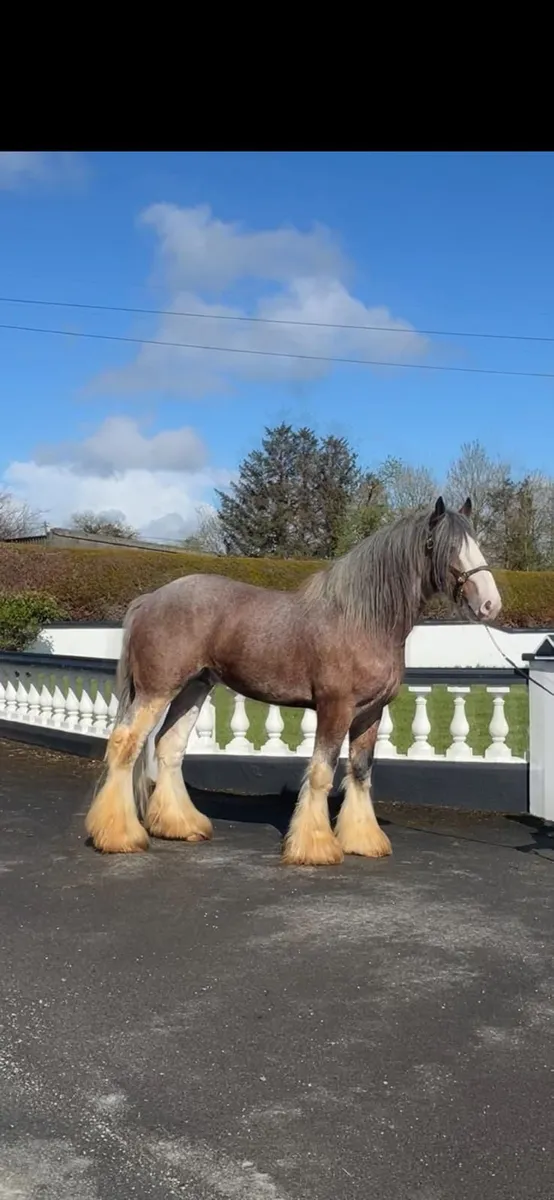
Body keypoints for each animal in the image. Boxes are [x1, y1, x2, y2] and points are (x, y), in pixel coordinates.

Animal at [85, 496, 502, 866]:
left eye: (477, 544)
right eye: (448, 547)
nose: (490, 605)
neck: (362, 620)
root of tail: (150, 599)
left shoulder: (370, 714)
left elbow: (360, 772)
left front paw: (363, 840)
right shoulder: (335, 708)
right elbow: (321, 772)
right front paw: (315, 848)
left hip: (194, 687)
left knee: (169, 746)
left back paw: (181, 825)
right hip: (157, 691)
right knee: (125, 744)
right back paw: (119, 837)